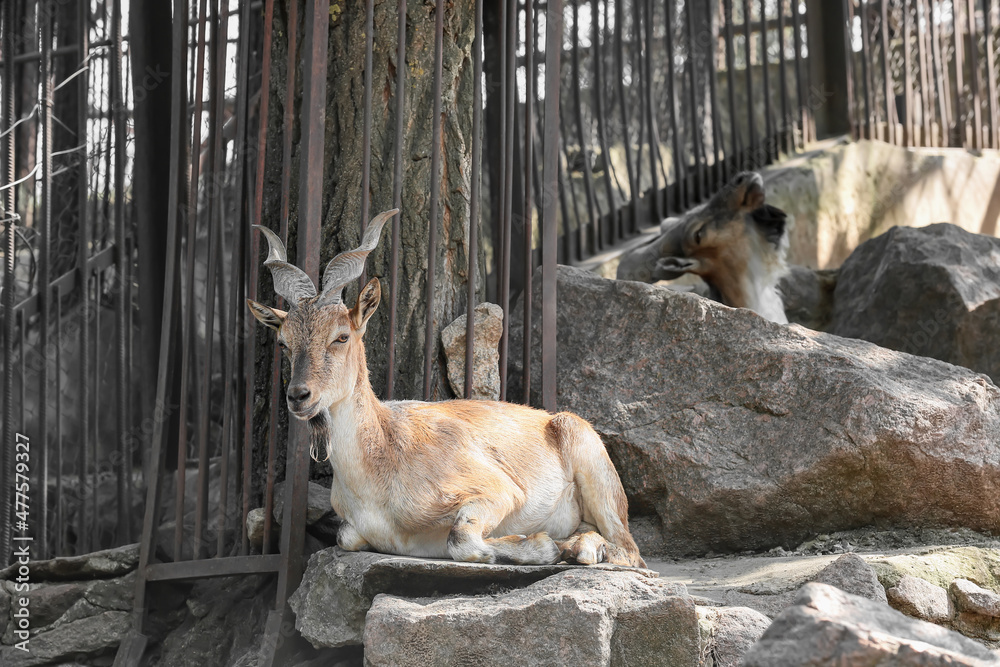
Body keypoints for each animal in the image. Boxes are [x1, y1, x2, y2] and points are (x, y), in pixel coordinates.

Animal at [246, 211, 644, 568]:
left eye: (341, 336)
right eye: (283, 342)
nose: (299, 396)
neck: (383, 459)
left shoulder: (498, 490)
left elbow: (462, 539)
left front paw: (543, 546)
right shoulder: (352, 529)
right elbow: (347, 536)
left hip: (591, 462)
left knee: (629, 549)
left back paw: (580, 550)